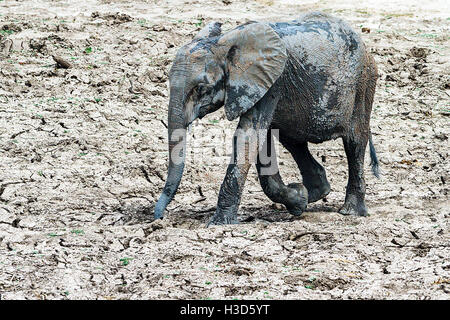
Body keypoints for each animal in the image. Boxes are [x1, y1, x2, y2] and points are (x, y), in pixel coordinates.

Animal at [154, 11, 380, 225]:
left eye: (201, 88)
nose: (158, 218)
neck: (224, 43)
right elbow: (261, 143)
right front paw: (298, 199)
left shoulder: (272, 81)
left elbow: (248, 137)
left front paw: (219, 224)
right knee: (292, 139)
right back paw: (313, 195)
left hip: (364, 81)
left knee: (354, 142)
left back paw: (351, 212)